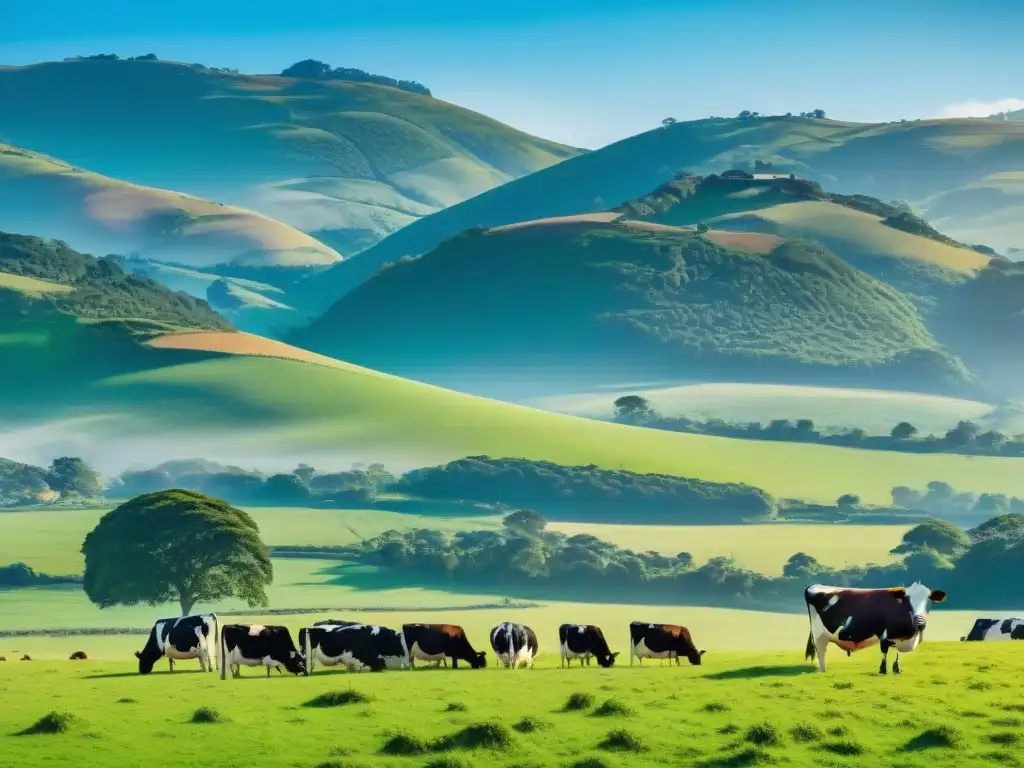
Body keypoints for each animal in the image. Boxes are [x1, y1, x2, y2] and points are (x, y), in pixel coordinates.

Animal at [802, 581, 946, 671]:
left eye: (929, 601)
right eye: (907, 600)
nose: (920, 622)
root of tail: (815, 585)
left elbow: (896, 655)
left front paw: (896, 669)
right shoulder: (885, 634)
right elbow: (884, 652)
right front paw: (882, 670)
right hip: (819, 636)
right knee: (821, 653)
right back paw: (823, 670)